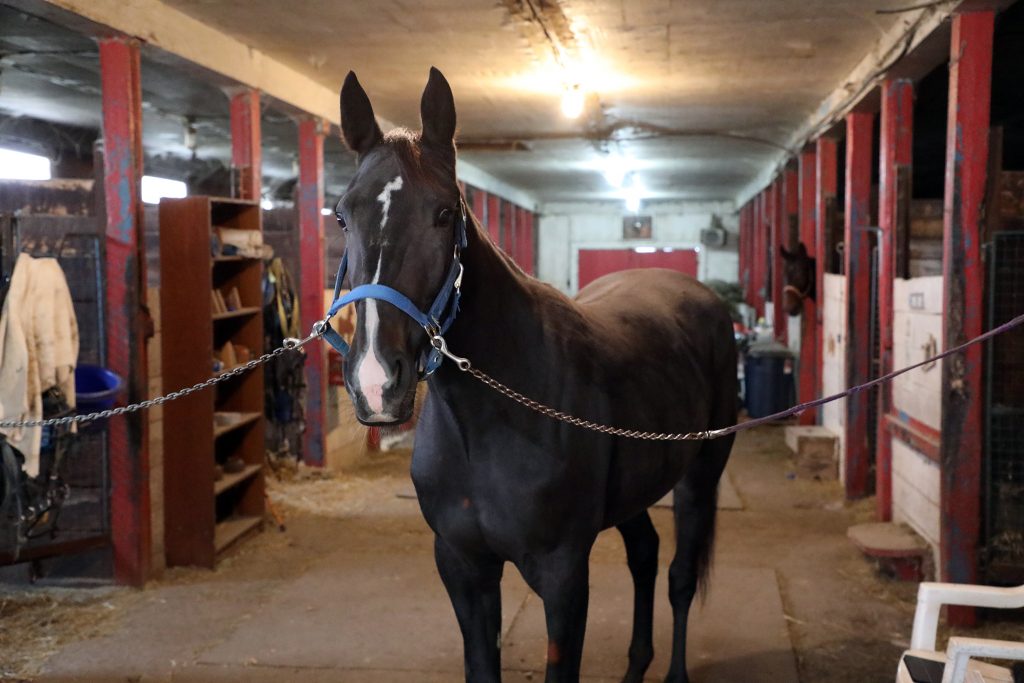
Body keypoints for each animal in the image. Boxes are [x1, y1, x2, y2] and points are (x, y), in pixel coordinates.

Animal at [335, 65, 737, 683]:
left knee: (679, 578)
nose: (377, 382)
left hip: (700, 476)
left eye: (444, 212)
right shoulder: (463, 568)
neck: (489, 423)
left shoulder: (563, 575)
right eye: (340, 214)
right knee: (645, 556)